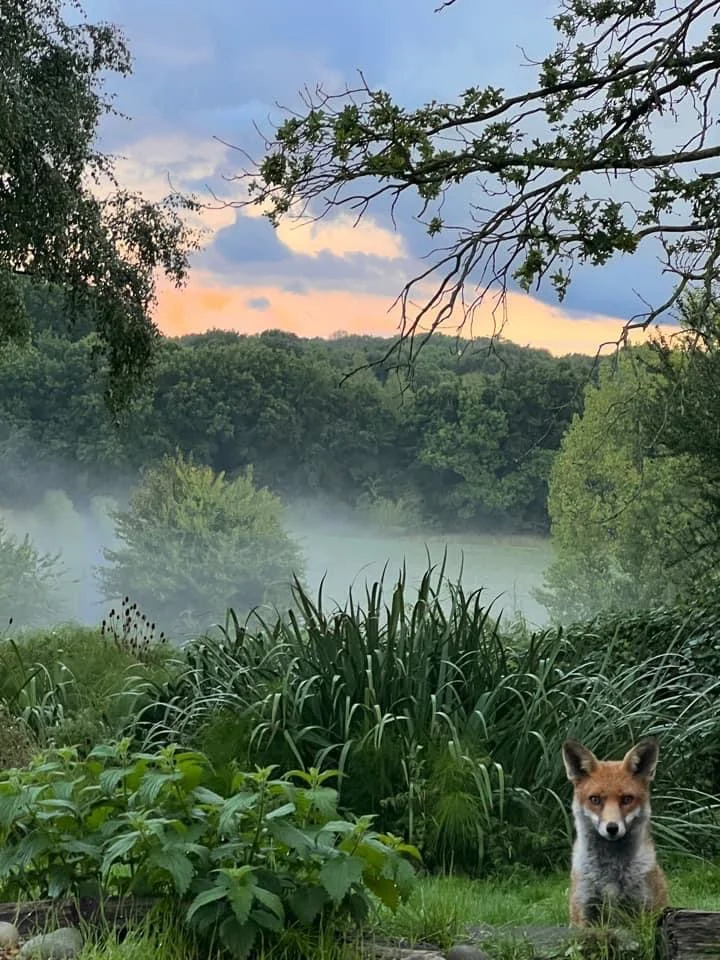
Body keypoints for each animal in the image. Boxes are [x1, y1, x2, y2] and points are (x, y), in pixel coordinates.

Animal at [562, 737, 668, 927]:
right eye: (595, 799)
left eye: (627, 799)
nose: (612, 828)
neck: (609, 874)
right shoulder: (584, 909)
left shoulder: (644, 910)